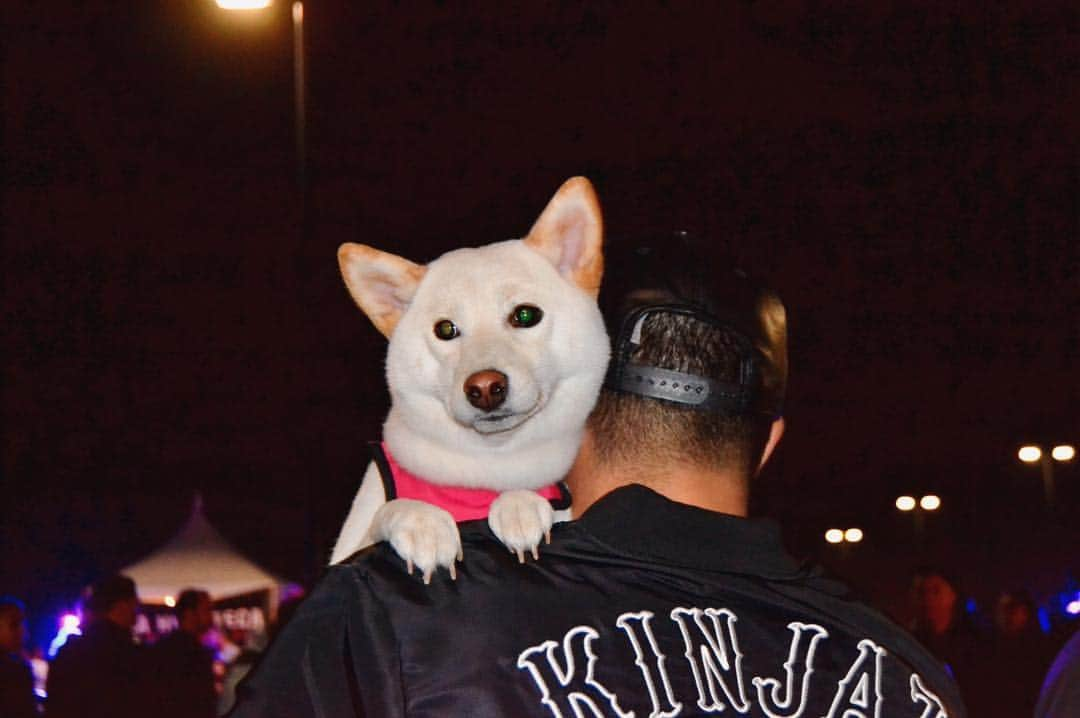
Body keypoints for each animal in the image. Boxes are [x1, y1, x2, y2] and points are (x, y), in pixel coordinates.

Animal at [330, 175, 609, 578]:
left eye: (526, 315)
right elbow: (384, 515)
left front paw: (520, 504)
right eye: (446, 329)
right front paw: (422, 523)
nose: (485, 387)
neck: (484, 475)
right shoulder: (350, 547)